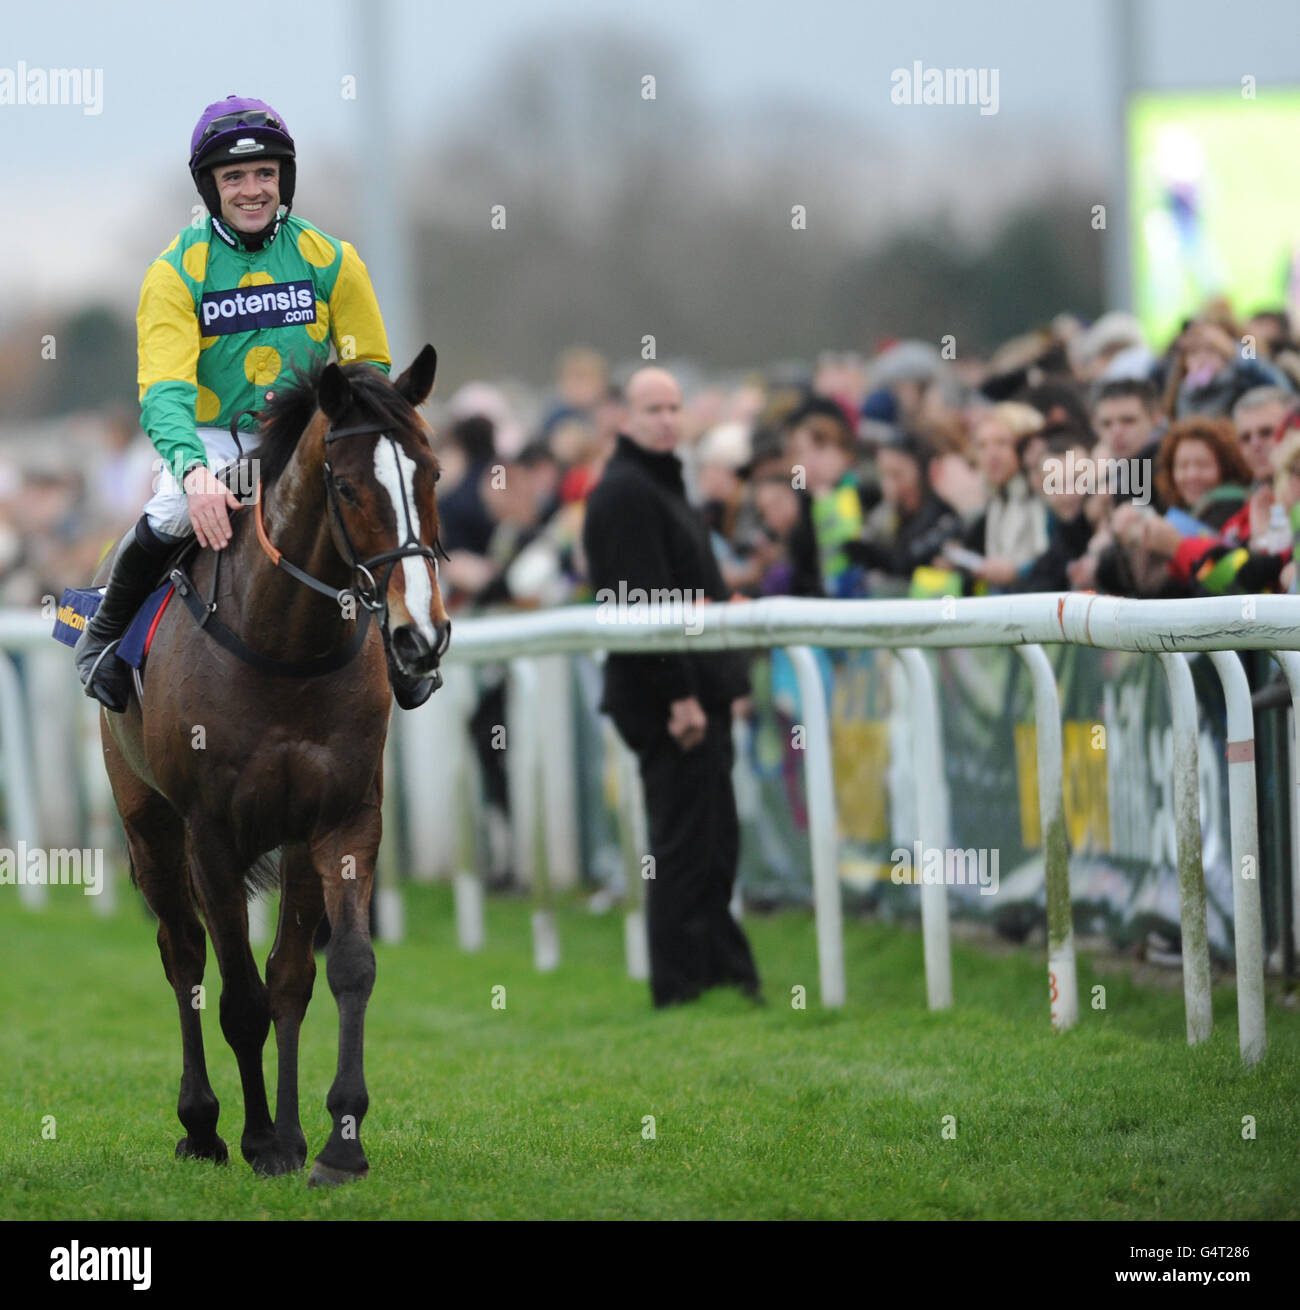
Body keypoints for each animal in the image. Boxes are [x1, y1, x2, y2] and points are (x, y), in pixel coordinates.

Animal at [100, 348, 450, 1189]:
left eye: (432, 474)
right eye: (349, 488)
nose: (421, 637)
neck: (284, 646)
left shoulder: (345, 818)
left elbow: (340, 969)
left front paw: (335, 1142)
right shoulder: (211, 836)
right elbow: (238, 997)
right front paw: (256, 1136)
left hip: (290, 840)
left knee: (288, 972)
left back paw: (290, 1131)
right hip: (149, 828)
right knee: (183, 955)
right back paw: (204, 1125)